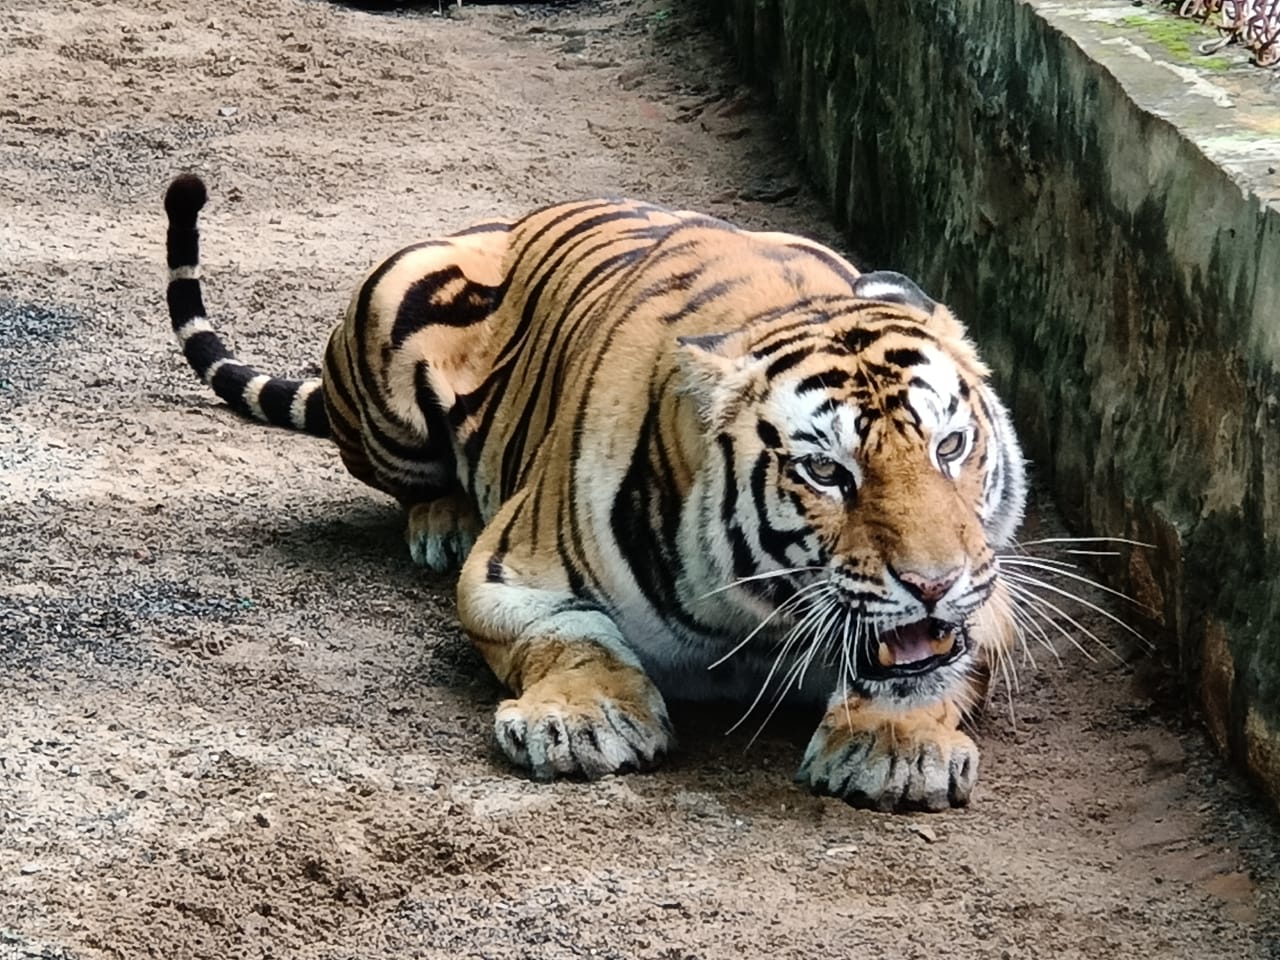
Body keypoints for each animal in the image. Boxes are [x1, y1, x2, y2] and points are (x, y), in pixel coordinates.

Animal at [165, 171, 1024, 814]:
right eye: (826, 473)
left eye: (950, 447)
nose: (932, 583)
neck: (759, 620)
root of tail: (511, 221)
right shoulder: (509, 574)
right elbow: (571, 635)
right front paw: (583, 722)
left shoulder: (991, 595)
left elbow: (936, 666)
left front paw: (893, 747)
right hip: (390, 334)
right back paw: (441, 521)